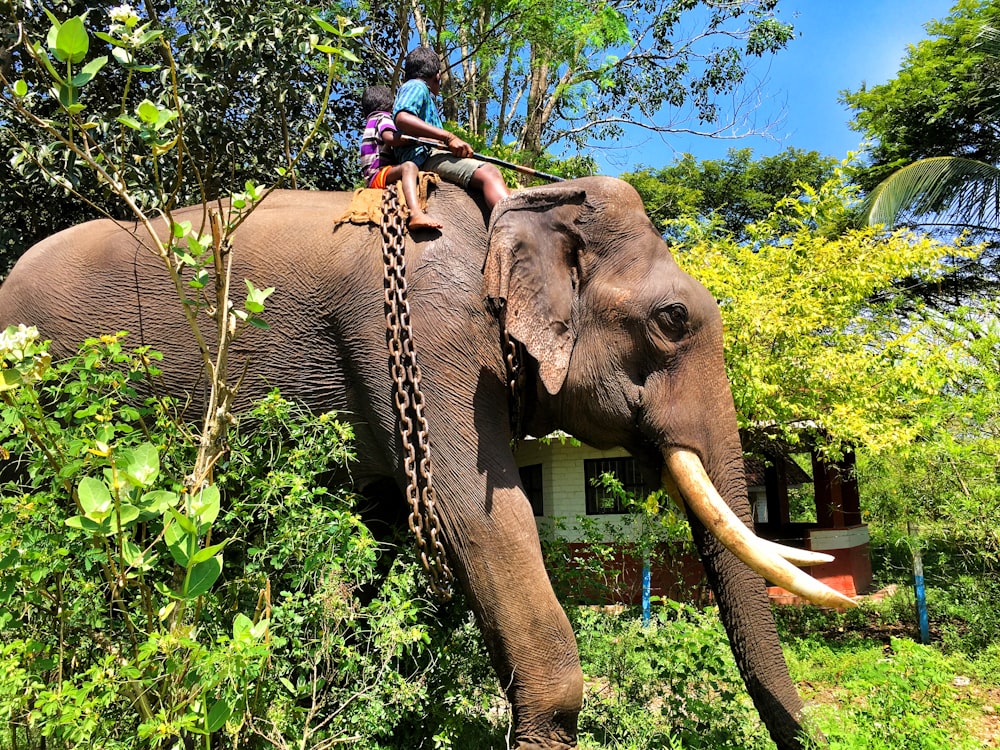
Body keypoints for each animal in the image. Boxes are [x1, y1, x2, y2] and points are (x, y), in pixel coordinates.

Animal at [0, 178, 852, 750]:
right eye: (672, 320)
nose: (810, 737)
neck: (522, 203)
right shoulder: (430, 331)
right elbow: (476, 517)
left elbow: (379, 532)